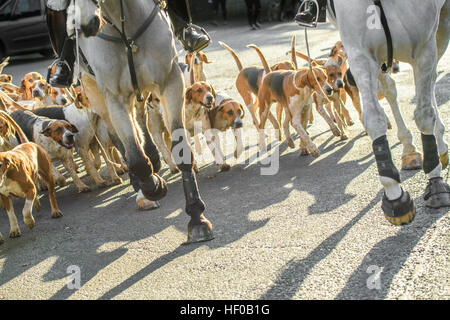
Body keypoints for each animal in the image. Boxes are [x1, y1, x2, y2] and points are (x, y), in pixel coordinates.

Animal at [68, 0, 214, 244]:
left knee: (140, 120)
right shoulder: (113, 97)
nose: (87, 24)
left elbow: (181, 149)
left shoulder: (170, 82)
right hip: (98, 95)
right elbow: (135, 157)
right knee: (121, 139)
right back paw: (141, 180)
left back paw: (153, 158)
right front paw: (153, 187)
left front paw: (197, 218)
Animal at [326, 0, 450, 225]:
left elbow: (424, 114)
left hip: (442, 27)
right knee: (391, 90)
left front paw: (435, 180)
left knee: (432, 81)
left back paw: (441, 146)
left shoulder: (424, 45)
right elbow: (374, 119)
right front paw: (395, 196)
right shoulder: (361, 54)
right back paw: (409, 151)